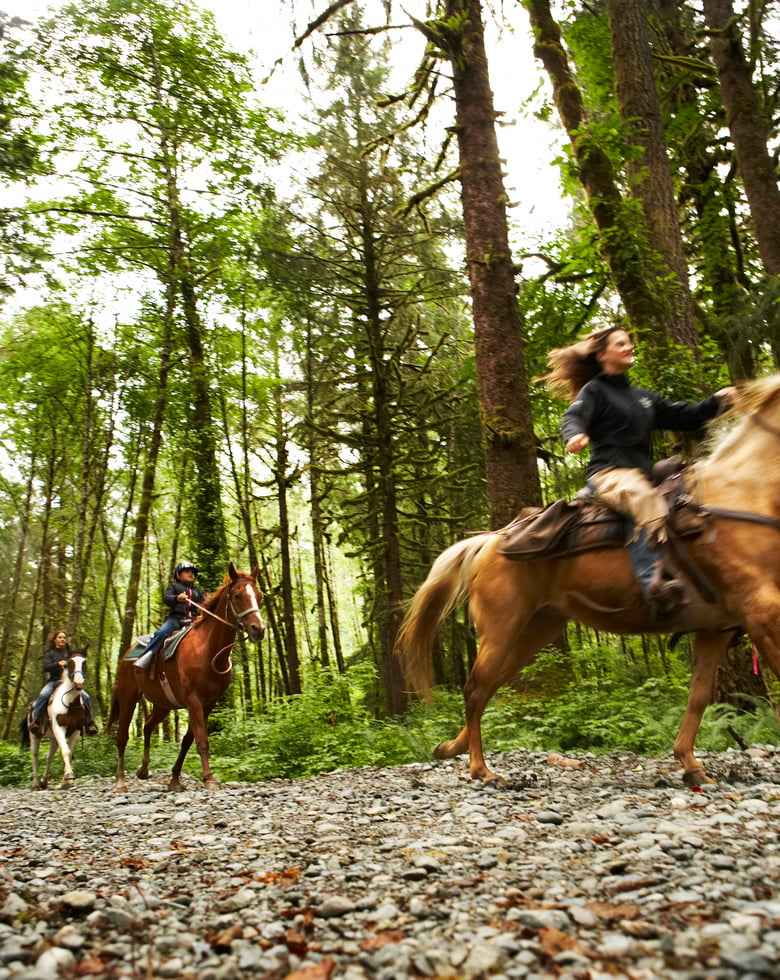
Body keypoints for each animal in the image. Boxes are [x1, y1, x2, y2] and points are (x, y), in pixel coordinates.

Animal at [20, 656, 88, 792]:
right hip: (34, 735)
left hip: (53, 739)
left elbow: (68, 752)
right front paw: (69, 775)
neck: (70, 704)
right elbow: (66, 751)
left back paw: (44, 782)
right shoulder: (59, 728)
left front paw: (65, 782)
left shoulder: (76, 730)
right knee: (35, 757)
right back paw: (36, 784)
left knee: (49, 758)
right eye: (70, 664)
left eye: (84, 663)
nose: (78, 683)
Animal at [106, 564, 266, 792]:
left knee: (147, 726)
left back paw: (143, 769)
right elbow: (201, 740)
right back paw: (120, 780)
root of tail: (126, 654)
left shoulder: (208, 703)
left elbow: (188, 740)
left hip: (163, 704)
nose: (258, 629)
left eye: (259, 596)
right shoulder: (193, 700)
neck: (207, 650)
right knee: (122, 736)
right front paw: (209, 778)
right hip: (128, 698)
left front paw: (175, 779)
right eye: (237, 596)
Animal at [396, 376, 780, 788]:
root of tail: (490, 540)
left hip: (534, 633)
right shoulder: (762, 611)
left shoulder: (716, 628)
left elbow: (699, 695)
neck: (743, 493)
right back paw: (481, 769)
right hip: (501, 631)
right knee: (475, 690)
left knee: (489, 688)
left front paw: (691, 766)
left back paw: (451, 749)